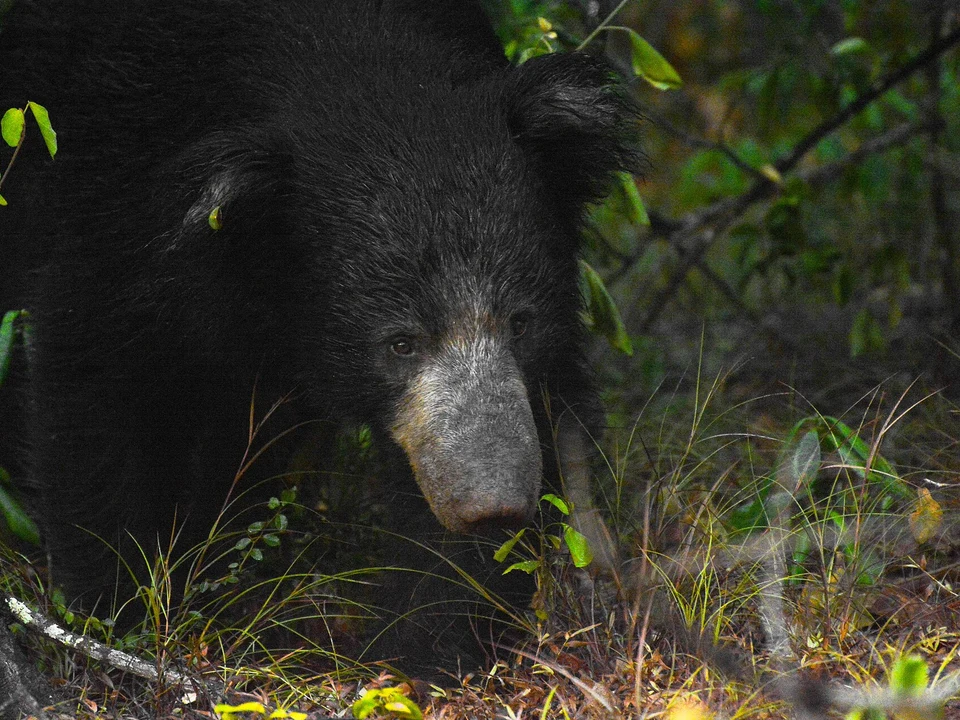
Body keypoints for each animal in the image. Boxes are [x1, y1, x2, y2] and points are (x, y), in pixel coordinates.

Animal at [1, 0, 639, 664]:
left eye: (519, 322)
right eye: (399, 343)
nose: (492, 506)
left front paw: (430, 646)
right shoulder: (114, 209)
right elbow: (96, 387)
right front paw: (117, 615)